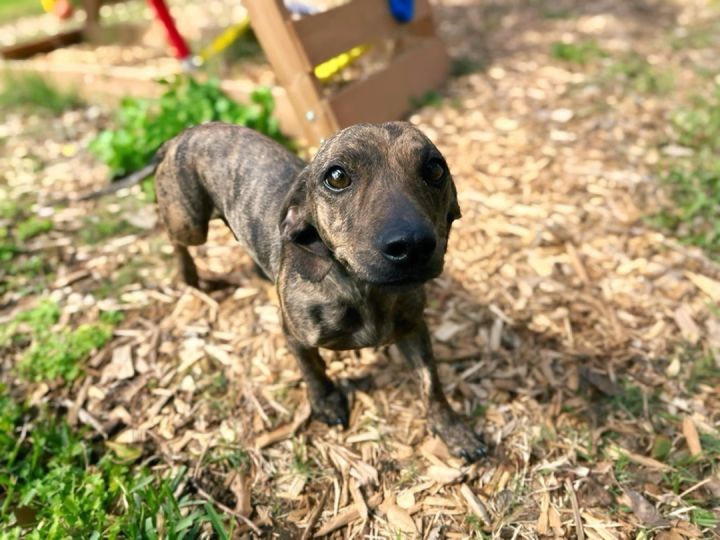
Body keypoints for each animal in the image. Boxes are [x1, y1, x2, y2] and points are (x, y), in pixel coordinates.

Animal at [155, 121, 486, 460]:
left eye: (434, 168)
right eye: (336, 176)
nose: (413, 245)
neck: (365, 291)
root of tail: (186, 132)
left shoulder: (414, 330)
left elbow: (432, 385)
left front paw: (453, 430)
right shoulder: (294, 335)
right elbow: (312, 370)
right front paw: (326, 401)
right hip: (190, 224)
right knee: (175, 239)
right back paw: (189, 276)